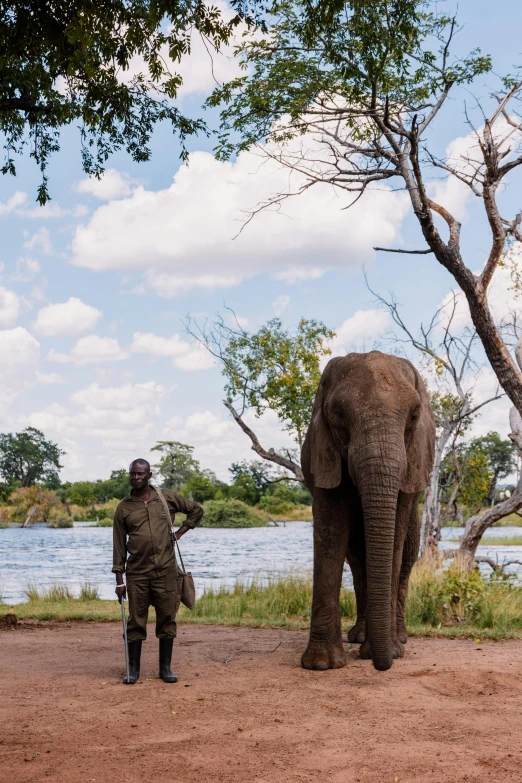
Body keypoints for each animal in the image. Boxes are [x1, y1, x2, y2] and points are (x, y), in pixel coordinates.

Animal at [298, 352, 432, 672]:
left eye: (414, 416)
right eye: (337, 414)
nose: (382, 666)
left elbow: (395, 540)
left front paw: (390, 651)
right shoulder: (325, 455)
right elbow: (331, 534)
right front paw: (322, 664)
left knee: (406, 558)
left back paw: (399, 637)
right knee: (358, 562)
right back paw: (358, 637)